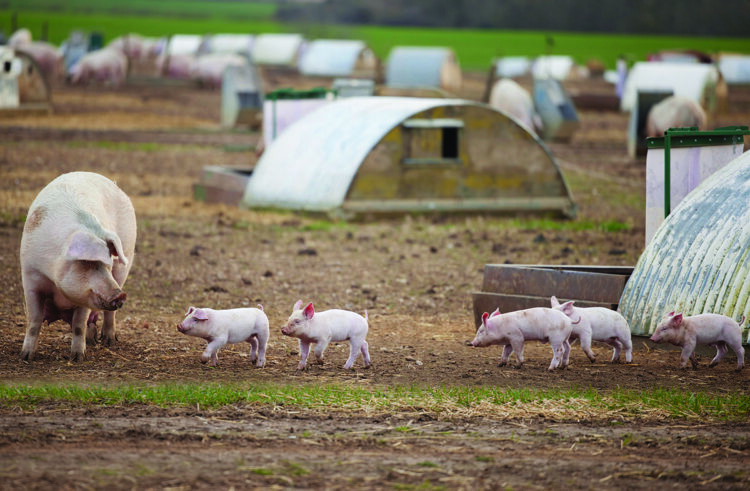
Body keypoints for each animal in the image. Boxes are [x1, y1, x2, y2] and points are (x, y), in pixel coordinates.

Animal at [20, 172, 136, 362]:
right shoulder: (31, 278)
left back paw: (108, 341)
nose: (119, 294)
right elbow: (34, 321)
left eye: (107, 263)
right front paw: (25, 356)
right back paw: (92, 340)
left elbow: (78, 325)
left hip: (124, 260)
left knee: (109, 314)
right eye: (87, 262)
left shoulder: (86, 295)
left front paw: (77, 358)